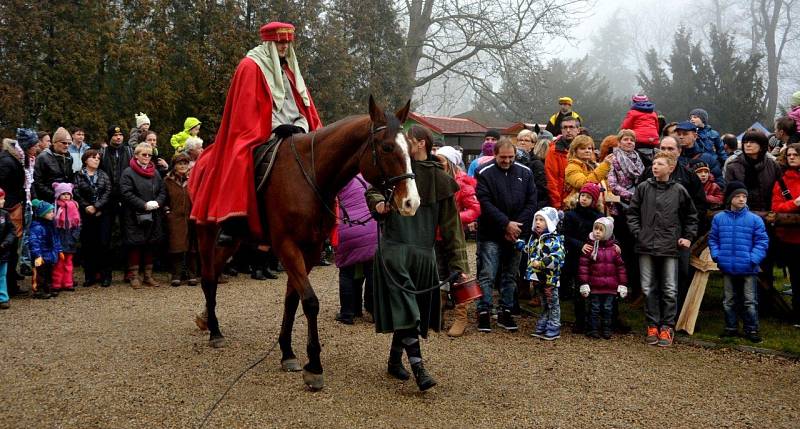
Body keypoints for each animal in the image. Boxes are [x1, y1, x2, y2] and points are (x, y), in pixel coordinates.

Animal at [195, 96, 418, 388]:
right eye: (387, 147)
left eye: (410, 148)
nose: (411, 202)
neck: (311, 177)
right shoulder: (287, 246)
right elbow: (310, 301)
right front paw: (314, 365)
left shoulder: (310, 249)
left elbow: (292, 299)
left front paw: (287, 352)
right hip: (206, 233)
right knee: (208, 278)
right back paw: (215, 332)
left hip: (233, 241)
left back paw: (209, 322)